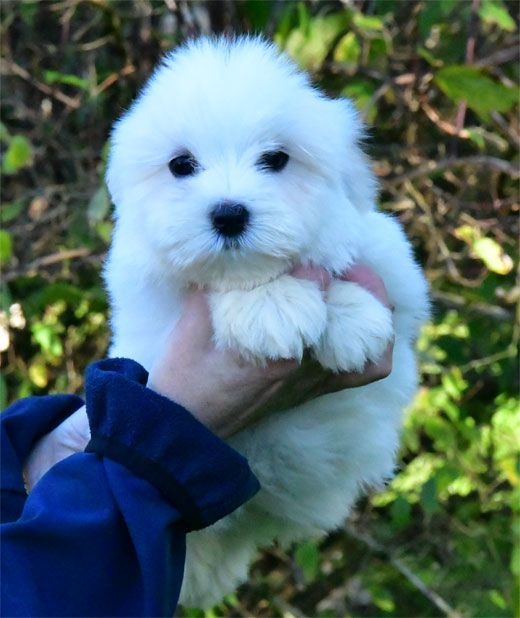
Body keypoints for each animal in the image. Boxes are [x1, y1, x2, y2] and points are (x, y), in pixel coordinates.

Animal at [104, 36, 430, 604]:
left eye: (276, 159)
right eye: (181, 165)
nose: (229, 214)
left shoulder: (394, 262)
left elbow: (350, 262)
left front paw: (349, 320)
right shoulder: (151, 312)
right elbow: (216, 289)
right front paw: (270, 308)